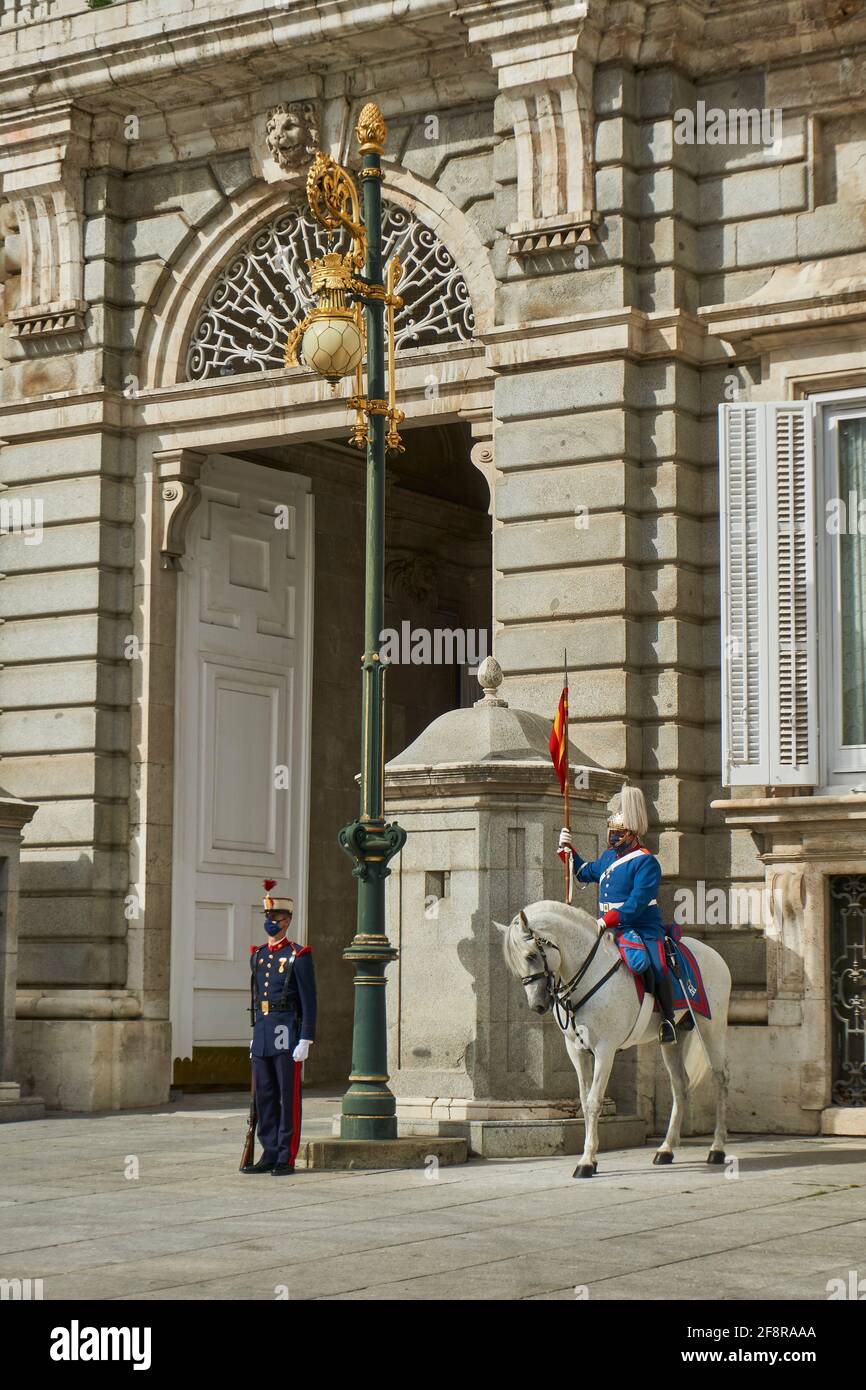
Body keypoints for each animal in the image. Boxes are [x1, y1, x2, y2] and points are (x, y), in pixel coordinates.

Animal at [500, 900, 733, 1173]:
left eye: (531, 955)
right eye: (515, 964)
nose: (537, 1005)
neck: (589, 974)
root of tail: (713, 953)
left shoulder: (605, 1049)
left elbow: (594, 1101)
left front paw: (587, 1161)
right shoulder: (576, 1050)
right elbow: (584, 1099)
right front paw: (590, 1155)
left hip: (711, 1027)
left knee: (720, 1079)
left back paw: (716, 1147)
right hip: (675, 1038)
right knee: (680, 1084)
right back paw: (666, 1148)